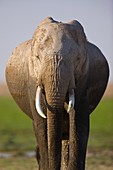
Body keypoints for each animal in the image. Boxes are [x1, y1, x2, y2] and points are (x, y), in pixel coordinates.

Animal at [5, 16, 109, 170]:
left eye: (78, 59)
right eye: (37, 57)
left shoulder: (84, 78)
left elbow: (79, 123)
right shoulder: (32, 79)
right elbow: (42, 125)